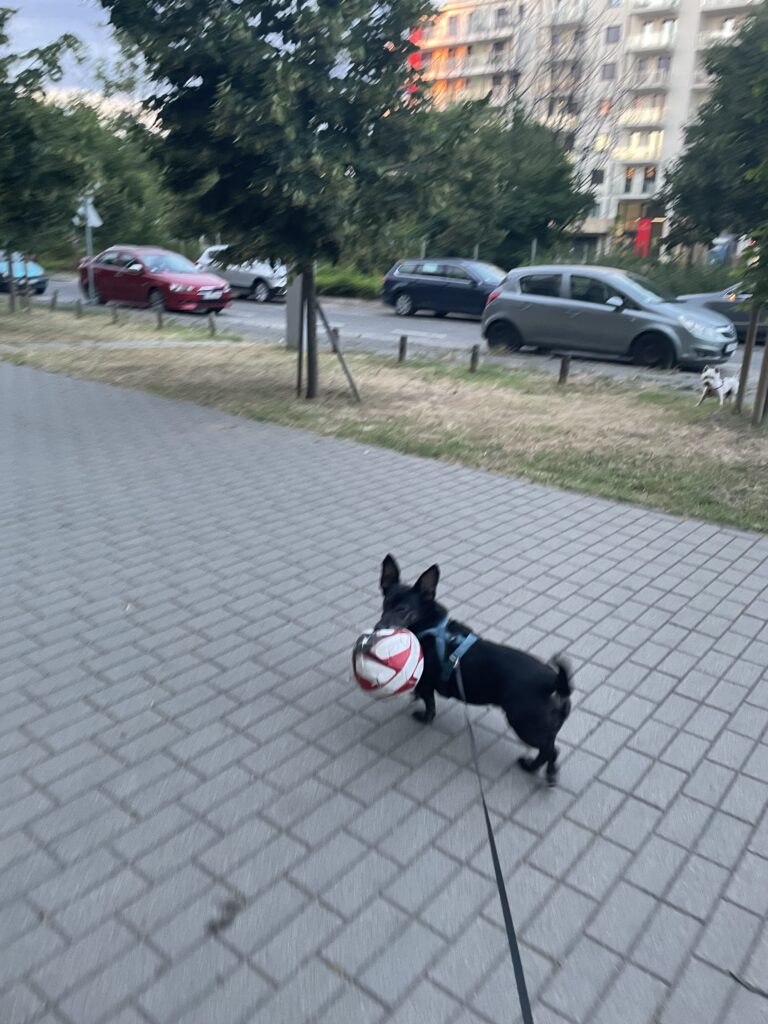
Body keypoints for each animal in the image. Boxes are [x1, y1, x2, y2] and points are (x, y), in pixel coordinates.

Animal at [376, 555, 573, 785]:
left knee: (549, 751)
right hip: (543, 726)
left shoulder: (426, 683)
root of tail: (552, 681)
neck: (429, 626)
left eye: (403, 610)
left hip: (525, 724)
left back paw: (533, 768)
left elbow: (430, 705)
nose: (379, 627)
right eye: (385, 604)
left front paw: (424, 717)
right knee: (551, 747)